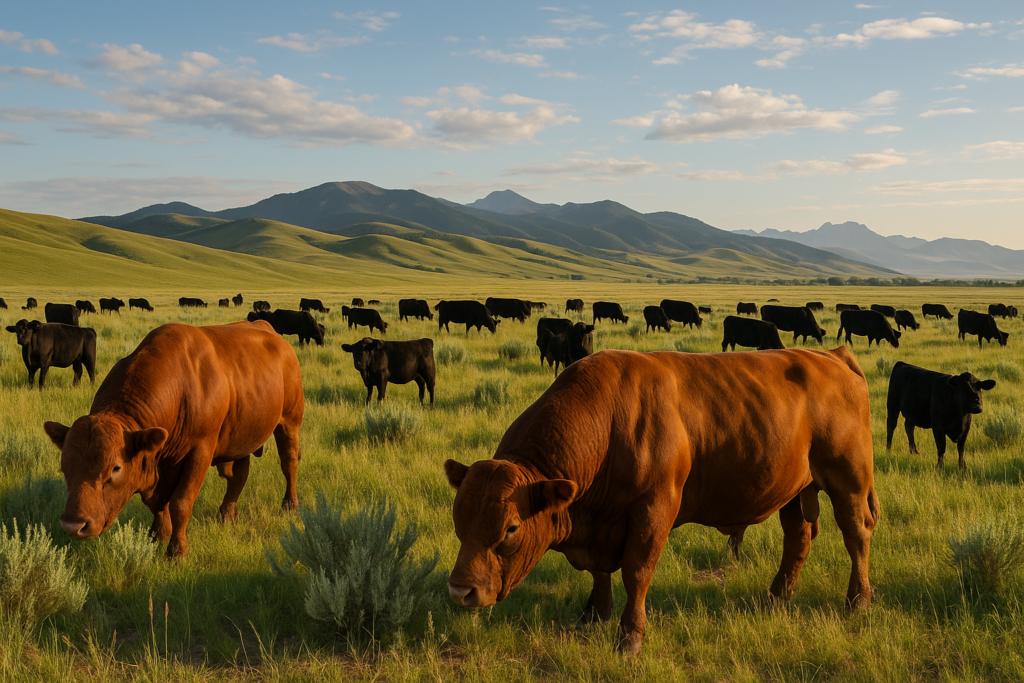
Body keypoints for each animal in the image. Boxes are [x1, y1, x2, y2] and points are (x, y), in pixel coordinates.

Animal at [43, 321, 303, 558]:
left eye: (115, 468)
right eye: (64, 467)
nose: (74, 525)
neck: (181, 389)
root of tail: (271, 332)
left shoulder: (199, 453)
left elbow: (181, 503)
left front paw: (176, 551)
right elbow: (158, 503)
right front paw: (157, 534)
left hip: (289, 422)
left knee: (288, 462)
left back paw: (289, 504)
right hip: (240, 439)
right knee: (238, 476)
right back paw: (226, 514)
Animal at [444, 347, 879, 654]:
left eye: (511, 528)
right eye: (458, 521)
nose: (460, 592)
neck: (608, 423)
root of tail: (832, 354)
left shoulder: (654, 509)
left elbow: (637, 572)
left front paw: (629, 638)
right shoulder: (601, 527)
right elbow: (600, 573)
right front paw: (593, 615)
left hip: (849, 480)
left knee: (856, 535)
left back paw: (857, 600)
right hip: (793, 490)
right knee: (798, 539)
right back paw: (776, 597)